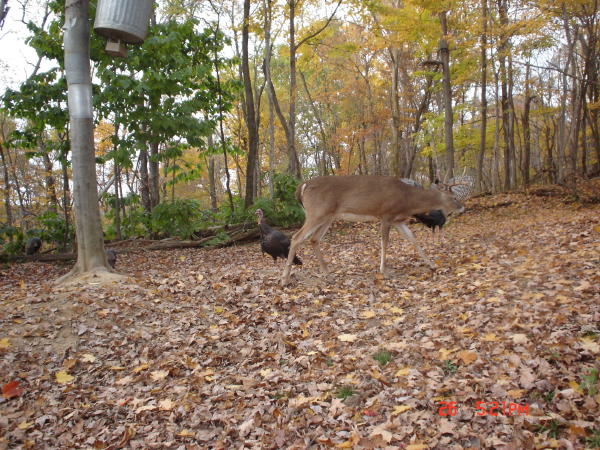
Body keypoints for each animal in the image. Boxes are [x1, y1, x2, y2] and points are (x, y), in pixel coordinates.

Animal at [282, 176, 464, 284]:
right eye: (454, 197)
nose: (463, 207)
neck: (407, 199)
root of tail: (302, 186)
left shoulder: (398, 220)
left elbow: (413, 239)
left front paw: (432, 265)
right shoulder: (386, 215)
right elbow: (384, 242)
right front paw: (383, 271)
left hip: (328, 216)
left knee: (314, 239)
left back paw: (327, 272)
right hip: (317, 212)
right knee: (296, 237)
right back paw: (285, 278)